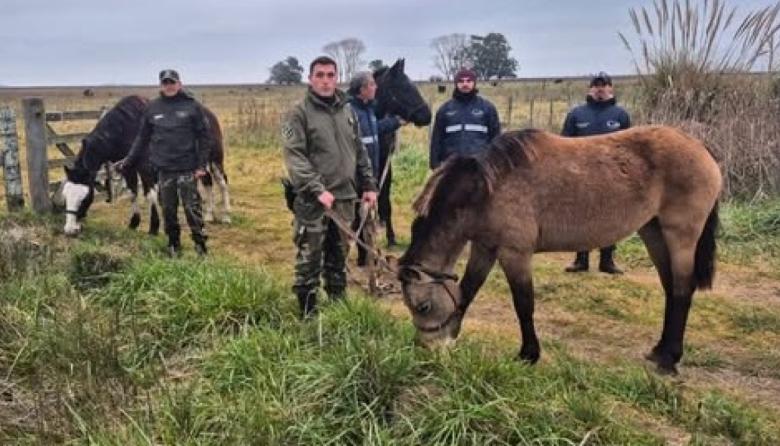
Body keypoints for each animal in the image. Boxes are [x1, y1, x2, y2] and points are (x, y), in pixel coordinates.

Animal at [61, 95, 229, 236]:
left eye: (84, 197)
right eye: (66, 195)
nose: (70, 229)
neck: (125, 129)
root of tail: (209, 115)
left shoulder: (146, 169)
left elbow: (150, 194)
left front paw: (154, 227)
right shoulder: (128, 168)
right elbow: (133, 193)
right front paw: (134, 223)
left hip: (215, 160)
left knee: (222, 182)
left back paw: (226, 216)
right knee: (207, 182)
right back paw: (209, 215)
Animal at [398, 126, 722, 375]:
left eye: (422, 306)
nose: (423, 347)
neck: (487, 189)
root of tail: (700, 147)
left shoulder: (514, 253)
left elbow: (523, 304)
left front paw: (528, 354)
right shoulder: (485, 248)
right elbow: (467, 291)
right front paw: (453, 334)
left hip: (681, 237)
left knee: (682, 290)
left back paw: (670, 359)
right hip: (653, 233)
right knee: (671, 289)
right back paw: (660, 350)